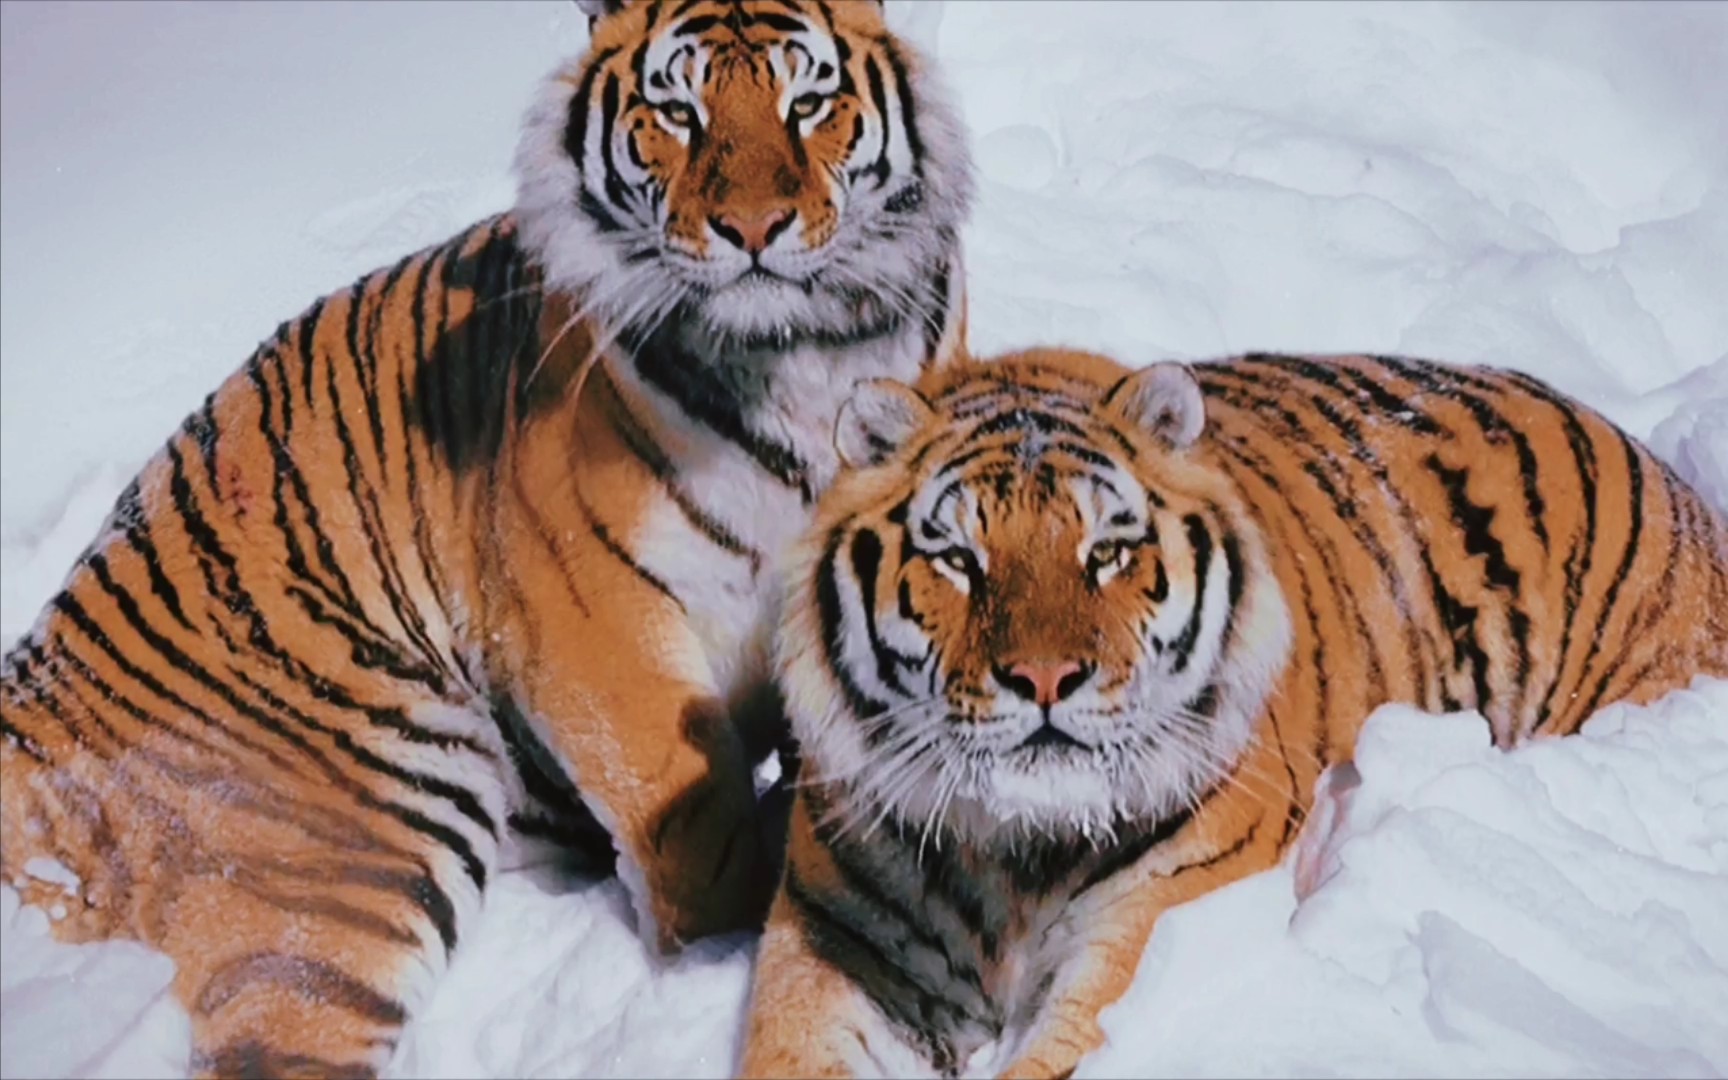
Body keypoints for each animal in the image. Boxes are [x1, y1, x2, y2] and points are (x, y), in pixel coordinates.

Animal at [0, 1, 972, 1076]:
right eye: (677, 112)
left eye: (808, 103)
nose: (753, 230)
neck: (800, 353)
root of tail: (33, 703)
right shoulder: (587, 618)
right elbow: (693, 812)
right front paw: (724, 946)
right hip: (355, 842)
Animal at [739, 347, 1728, 1079]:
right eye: (958, 559)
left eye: (1107, 553)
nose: (1047, 679)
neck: (1016, 857)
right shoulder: (838, 943)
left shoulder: (1153, 925)